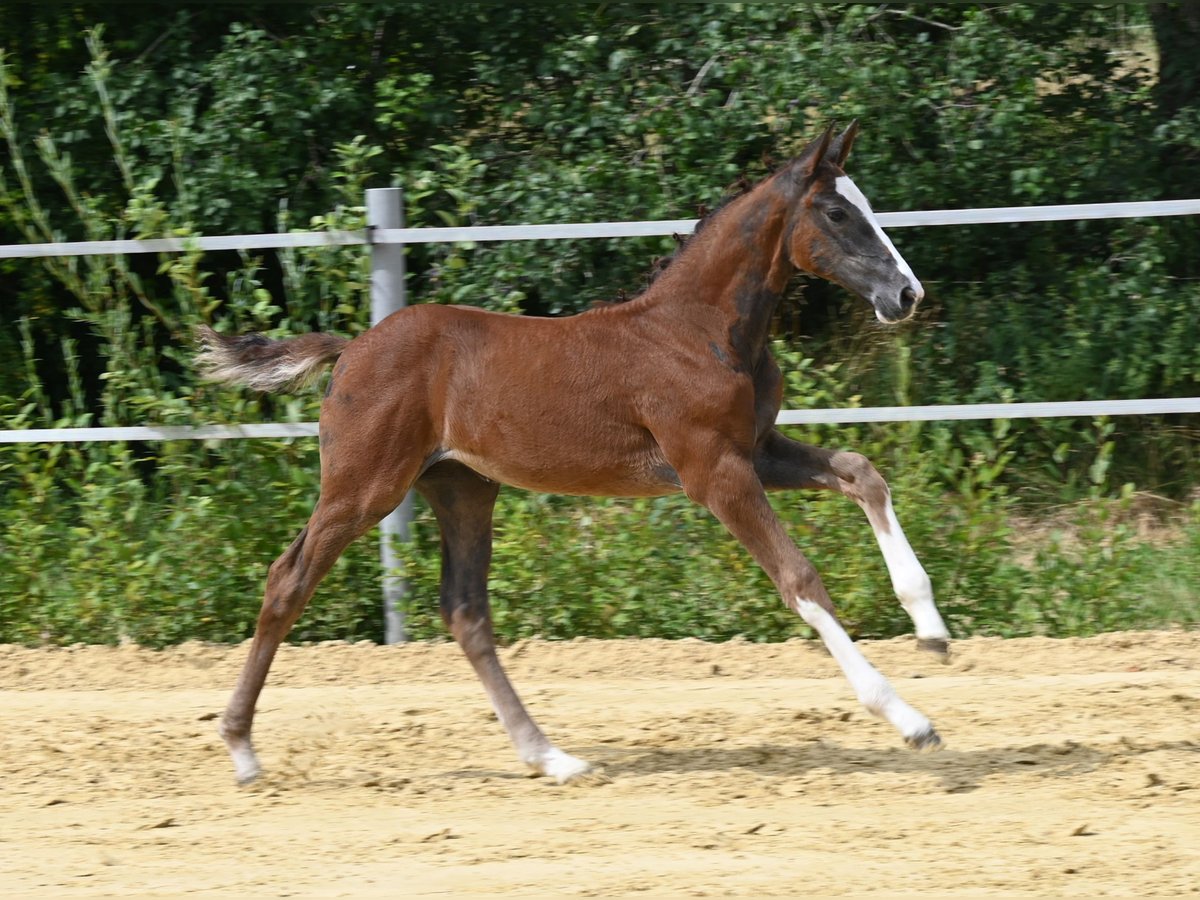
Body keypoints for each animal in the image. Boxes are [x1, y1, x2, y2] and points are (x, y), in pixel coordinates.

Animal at [194, 123, 945, 787]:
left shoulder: (755, 451)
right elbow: (800, 576)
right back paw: (241, 751)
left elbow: (862, 473)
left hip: (462, 488)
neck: (699, 330)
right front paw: (909, 719)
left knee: (466, 612)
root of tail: (351, 349)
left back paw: (552, 758)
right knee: (288, 580)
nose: (907, 293)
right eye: (836, 212)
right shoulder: (713, 471)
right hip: (362, 487)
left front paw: (930, 627)